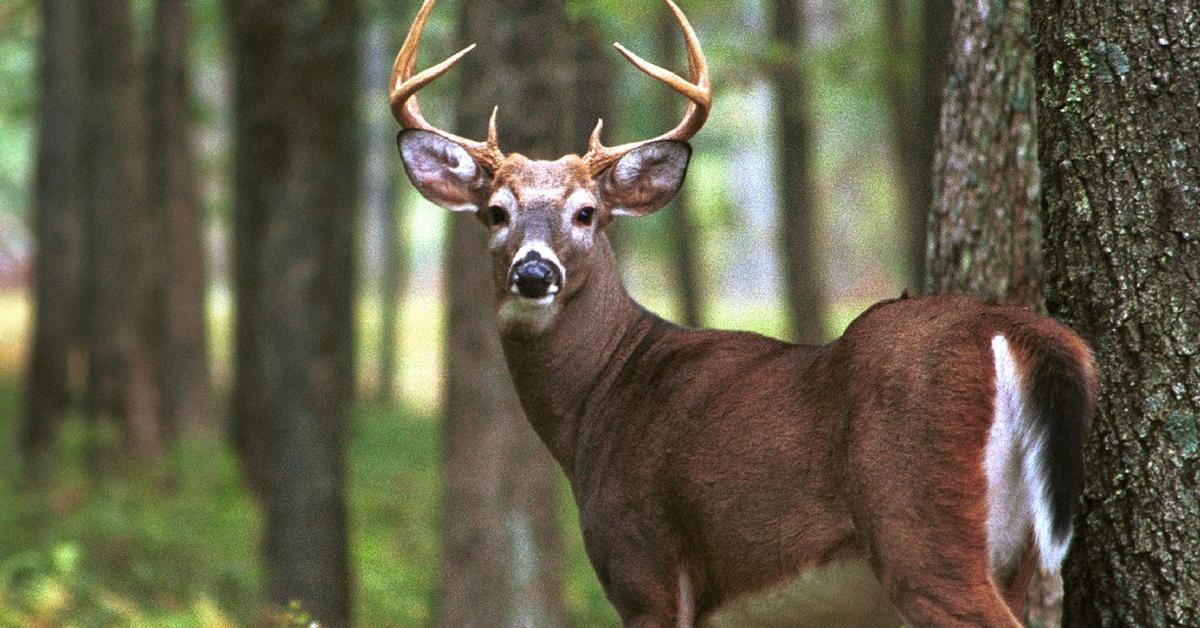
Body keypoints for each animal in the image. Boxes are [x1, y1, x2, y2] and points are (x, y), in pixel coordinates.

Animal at [391, 2, 1099, 624]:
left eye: (586, 212)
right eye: (496, 212)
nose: (534, 273)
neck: (600, 398)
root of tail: (1012, 328)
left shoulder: (643, 563)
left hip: (921, 525)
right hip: (1013, 553)